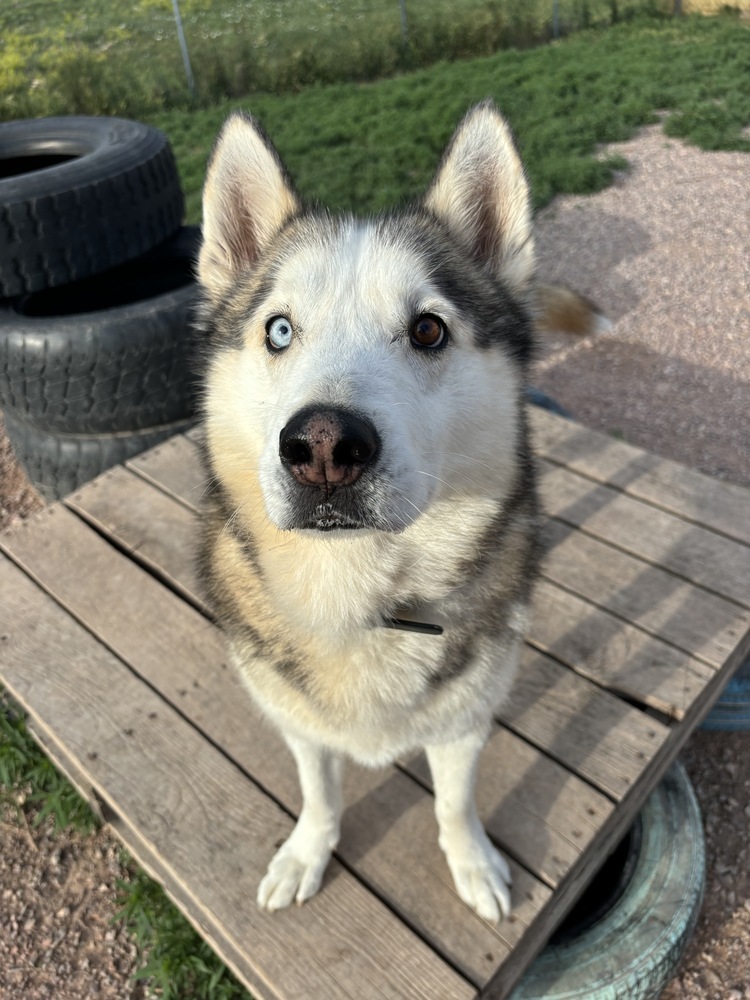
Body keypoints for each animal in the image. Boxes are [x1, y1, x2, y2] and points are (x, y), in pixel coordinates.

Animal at [197, 101, 544, 920]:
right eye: (279, 330)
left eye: (428, 329)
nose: (323, 446)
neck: (359, 593)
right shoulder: (298, 723)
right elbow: (320, 795)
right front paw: (306, 855)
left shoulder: (464, 720)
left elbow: (454, 802)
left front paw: (471, 863)